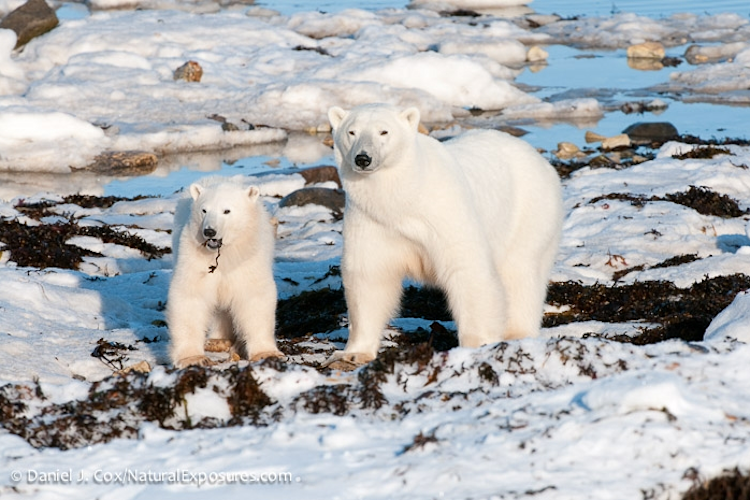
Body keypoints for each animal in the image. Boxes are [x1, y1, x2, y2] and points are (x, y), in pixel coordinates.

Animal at [167, 177, 281, 368]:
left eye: (227, 211)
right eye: (204, 210)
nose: (209, 231)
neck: (226, 255)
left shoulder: (249, 257)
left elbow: (254, 296)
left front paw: (267, 353)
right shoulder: (194, 256)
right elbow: (191, 295)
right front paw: (193, 358)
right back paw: (216, 340)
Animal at [323, 103, 563, 370]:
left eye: (384, 131)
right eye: (352, 132)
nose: (363, 158)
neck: (404, 196)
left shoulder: (445, 210)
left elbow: (467, 269)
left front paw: (476, 343)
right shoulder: (371, 220)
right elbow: (369, 276)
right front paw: (352, 354)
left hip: (529, 212)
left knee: (520, 272)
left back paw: (517, 333)